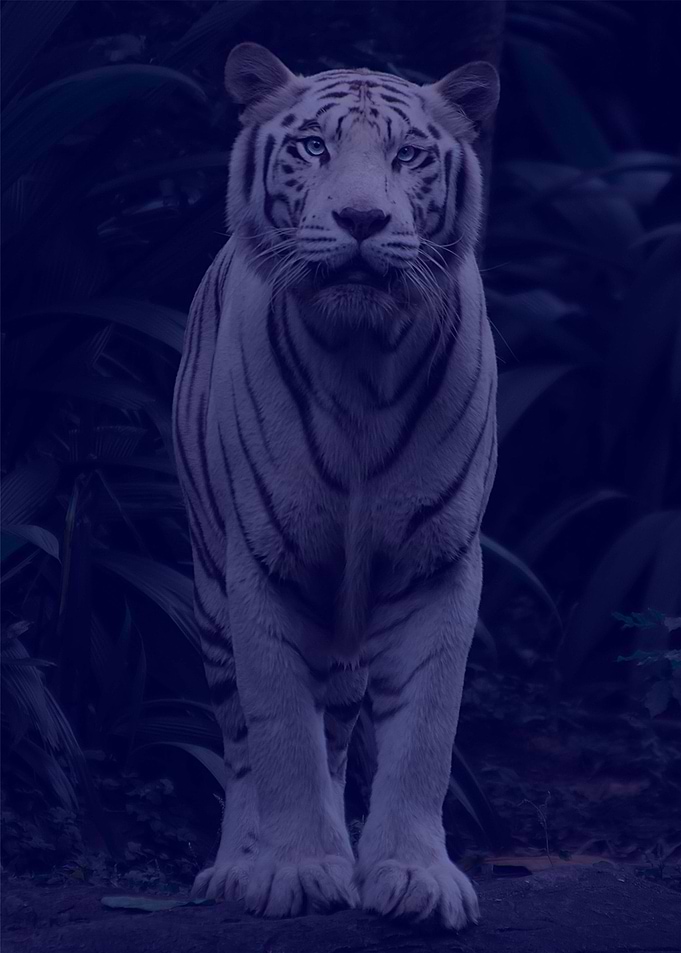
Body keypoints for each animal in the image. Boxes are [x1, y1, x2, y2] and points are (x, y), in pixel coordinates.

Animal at [172, 42, 499, 930]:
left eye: (408, 154)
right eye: (313, 147)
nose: (360, 220)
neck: (361, 358)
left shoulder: (436, 563)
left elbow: (425, 731)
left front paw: (413, 874)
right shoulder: (262, 563)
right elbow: (281, 729)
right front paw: (298, 869)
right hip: (209, 590)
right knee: (241, 741)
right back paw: (237, 865)